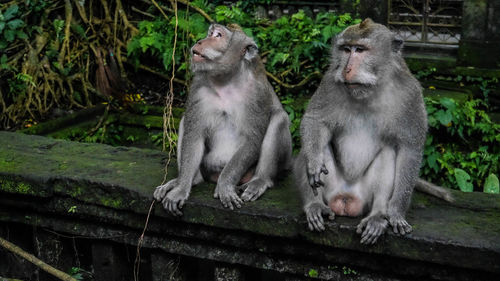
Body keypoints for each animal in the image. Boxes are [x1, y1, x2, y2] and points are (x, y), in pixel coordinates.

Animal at [154, 23, 292, 214]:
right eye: (209, 33)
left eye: (218, 35)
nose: (200, 41)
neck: (226, 79)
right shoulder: (198, 88)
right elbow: (194, 135)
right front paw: (181, 189)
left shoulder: (257, 93)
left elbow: (252, 140)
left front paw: (225, 185)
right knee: (185, 121)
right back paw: (188, 180)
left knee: (279, 119)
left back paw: (260, 180)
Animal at [292, 18, 454, 244]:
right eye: (346, 49)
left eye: (360, 50)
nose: (346, 69)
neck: (369, 90)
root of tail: (346, 198)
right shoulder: (330, 80)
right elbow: (315, 121)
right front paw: (314, 163)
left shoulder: (411, 94)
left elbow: (409, 148)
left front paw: (395, 212)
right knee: (311, 147)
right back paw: (314, 204)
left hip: (364, 198)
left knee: (389, 153)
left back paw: (377, 216)